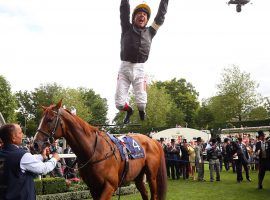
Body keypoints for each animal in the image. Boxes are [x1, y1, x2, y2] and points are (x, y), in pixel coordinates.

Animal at [32, 100, 166, 200]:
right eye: (41, 120)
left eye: (50, 119)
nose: (35, 145)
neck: (94, 152)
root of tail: (153, 141)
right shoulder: (93, 187)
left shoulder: (110, 186)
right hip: (138, 176)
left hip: (151, 176)